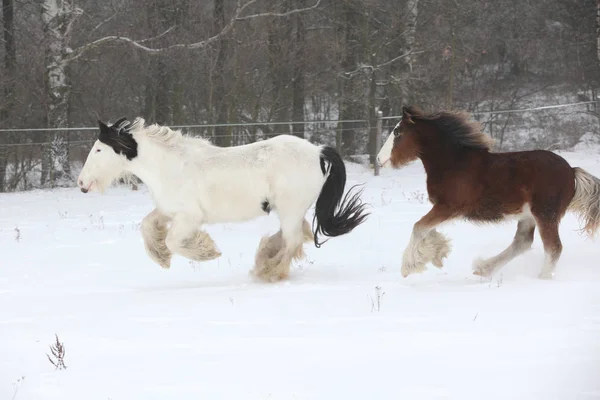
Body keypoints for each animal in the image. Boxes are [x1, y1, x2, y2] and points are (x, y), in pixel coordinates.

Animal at [78, 117, 370, 282]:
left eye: (99, 149)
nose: (81, 183)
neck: (169, 165)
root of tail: (318, 151)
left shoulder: (189, 217)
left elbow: (173, 241)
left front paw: (207, 251)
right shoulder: (168, 210)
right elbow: (147, 226)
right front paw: (161, 258)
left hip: (290, 208)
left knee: (293, 240)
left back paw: (268, 271)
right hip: (291, 211)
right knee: (296, 236)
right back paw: (265, 260)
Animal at [378, 106, 596, 282]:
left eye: (397, 132)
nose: (380, 159)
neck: (453, 163)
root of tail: (572, 171)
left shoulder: (449, 207)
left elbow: (419, 227)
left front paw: (409, 266)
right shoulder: (443, 209)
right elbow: (427, 228)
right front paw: (438, 253)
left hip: (545, 213)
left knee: (553, 248)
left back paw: (541, 279)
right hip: (527, 215)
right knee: (522, 242)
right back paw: (484, 269)